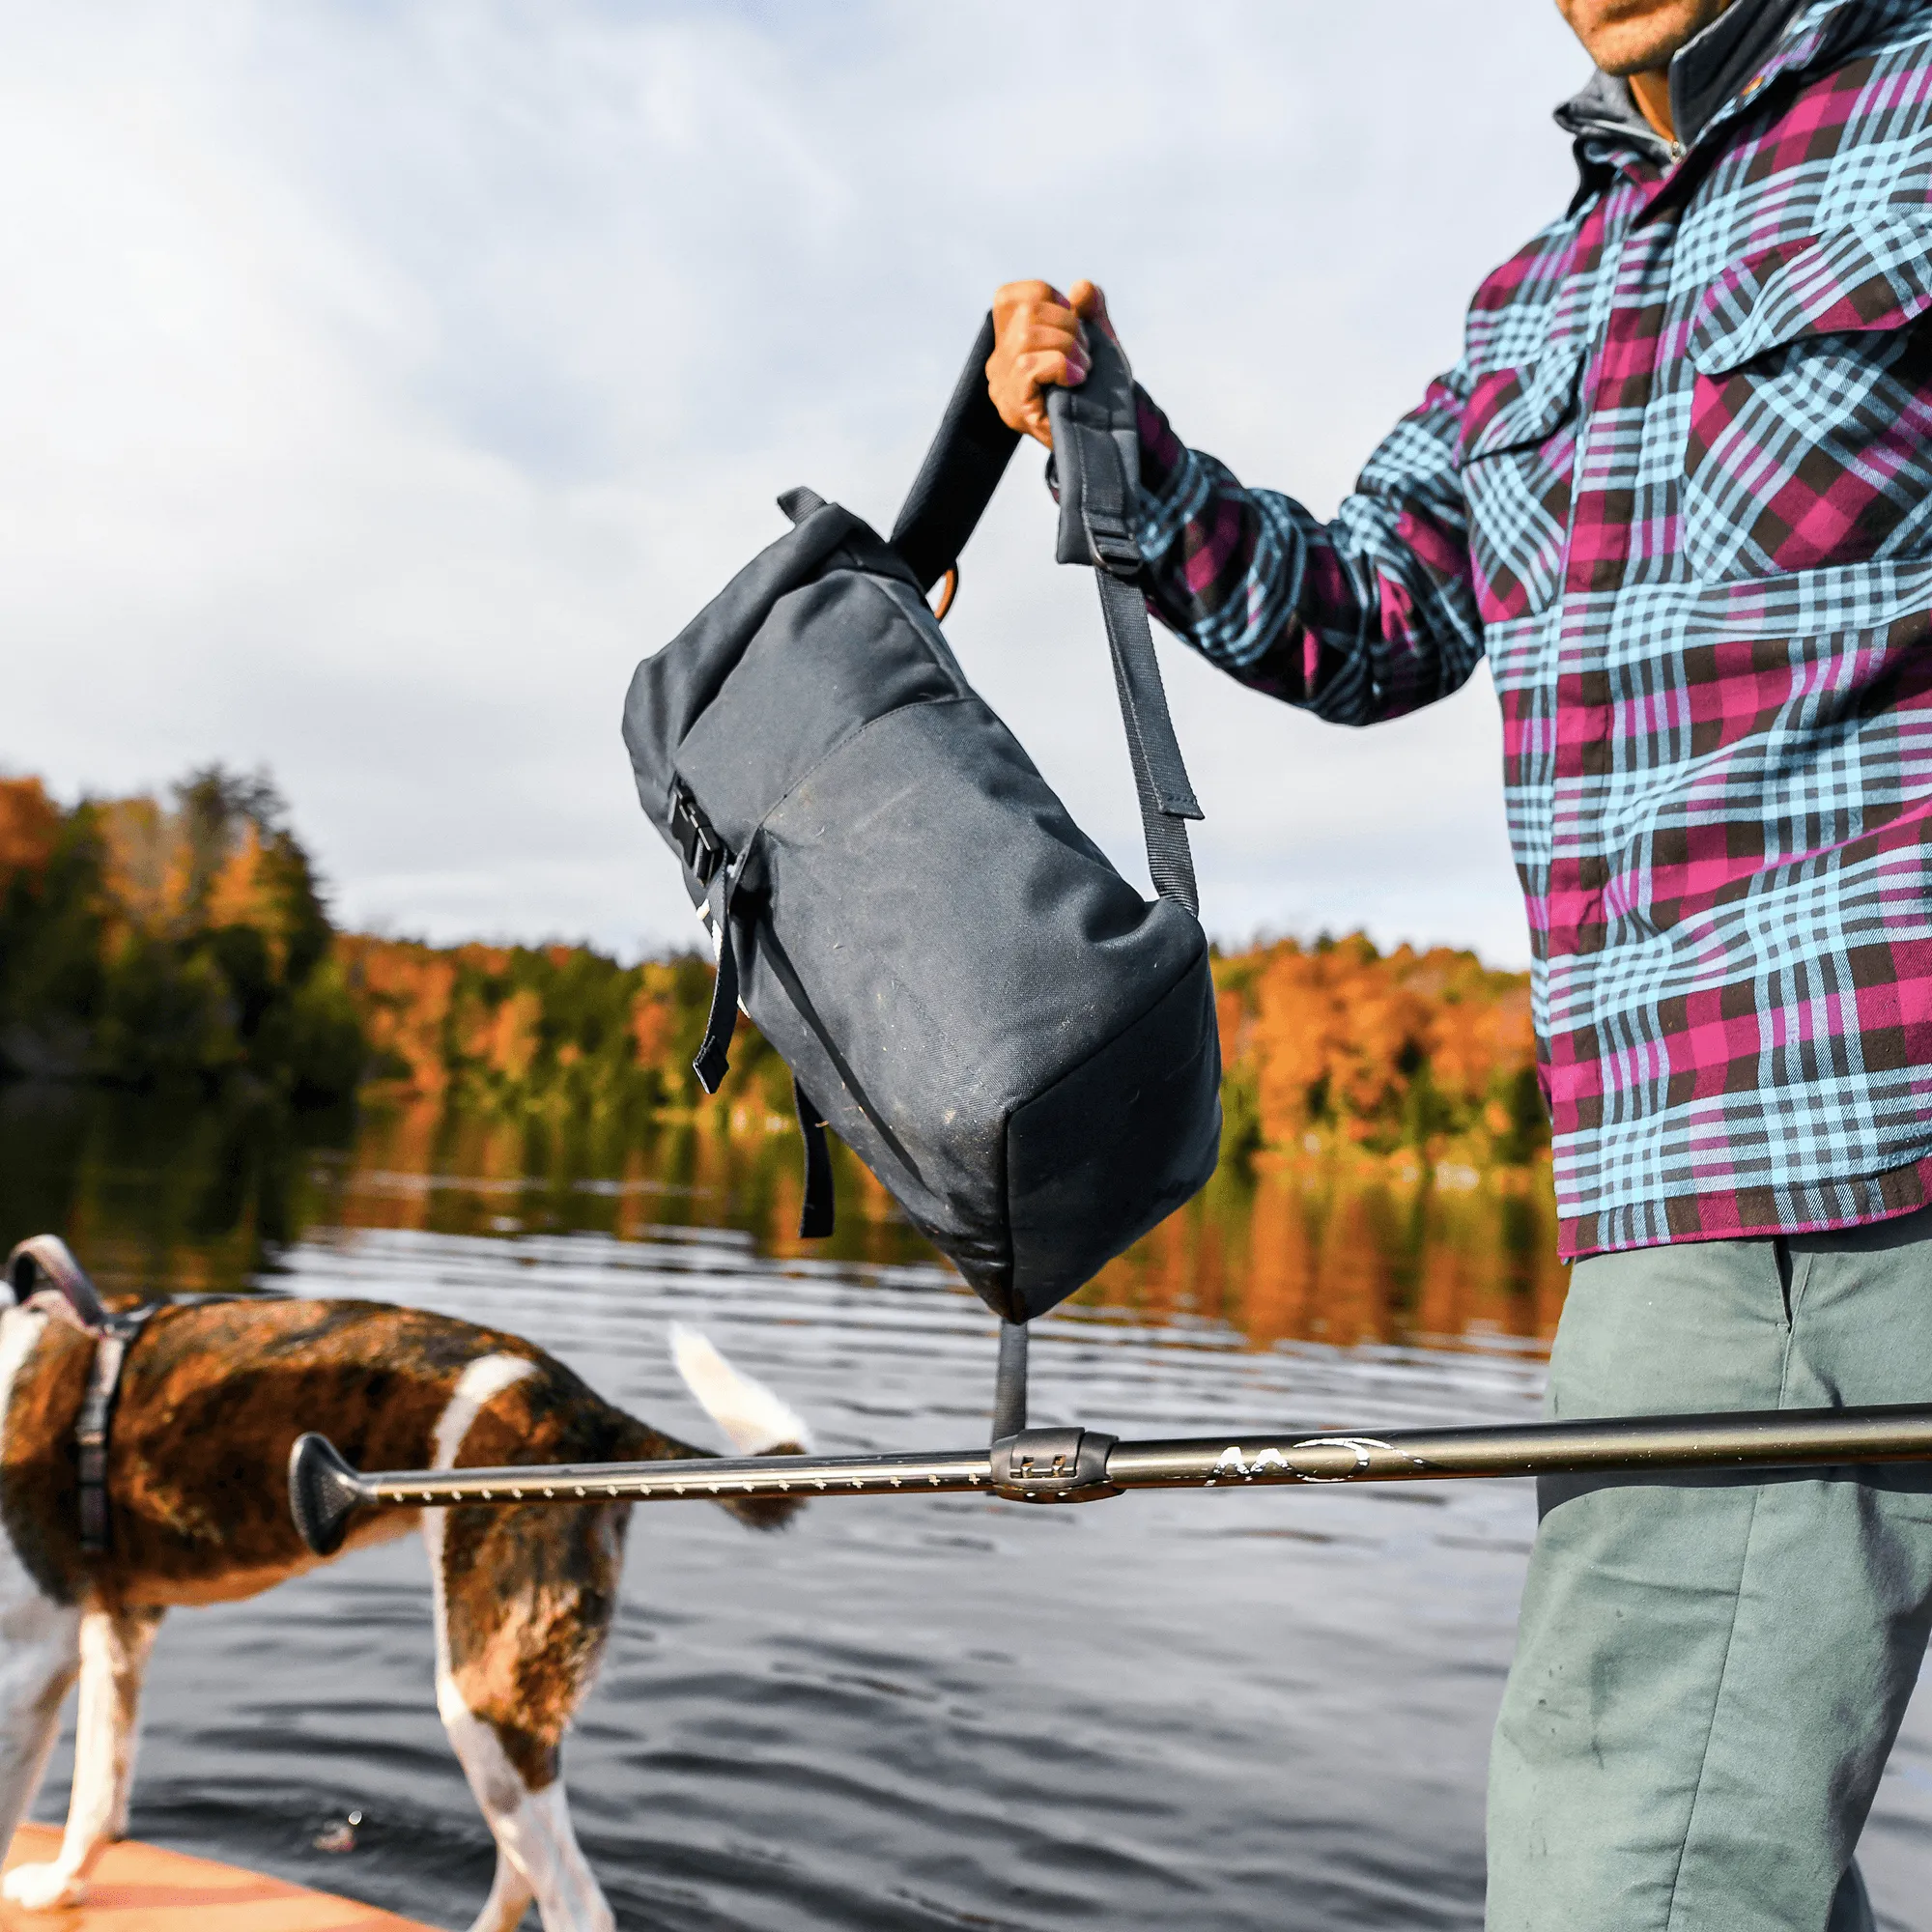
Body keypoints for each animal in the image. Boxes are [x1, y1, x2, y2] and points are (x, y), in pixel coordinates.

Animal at [0, 1283, 804, 1932]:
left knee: (577, 1907)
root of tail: (595, 1416)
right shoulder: (115, 1632)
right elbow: (99, 1797)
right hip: (505, 1712)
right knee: (522, 1875)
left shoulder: (28, 1667)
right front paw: (61, 1890)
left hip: (481, 1692)